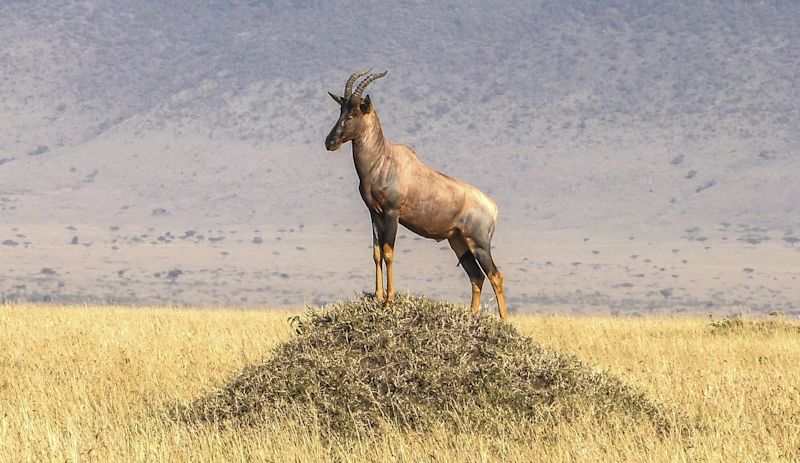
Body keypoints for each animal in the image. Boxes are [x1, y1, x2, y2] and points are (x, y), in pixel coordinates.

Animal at [324, 70, 506, 320]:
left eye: (354, 113)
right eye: (340, 111)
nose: (330, 142)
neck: (384, 159)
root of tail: (492, 207)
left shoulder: (392, 212)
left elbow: (389, 252)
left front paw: (389, 301)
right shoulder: (374, 213)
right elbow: (376, 253)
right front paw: (377, 296)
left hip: (479, 243)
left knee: (495, 275)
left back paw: (505, 321)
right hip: (458, 242)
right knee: (476, 276)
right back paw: (470, 317)